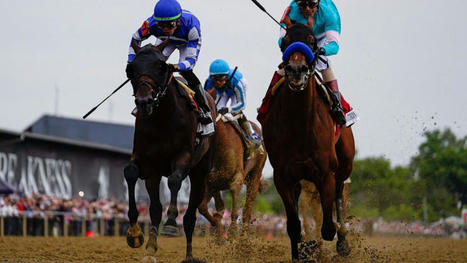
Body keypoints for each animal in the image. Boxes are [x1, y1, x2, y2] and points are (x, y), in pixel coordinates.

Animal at [121, 43, 215, 262]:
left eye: (161, 66)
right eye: (131, 69)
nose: (144, 101)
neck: (162, 118)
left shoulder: (183, 156)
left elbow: (174, 180)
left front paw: (171, 223)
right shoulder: (146, 162)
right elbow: (130, 173)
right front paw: (135, 234)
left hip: (200, 173)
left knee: (189, 217)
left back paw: (189, 255)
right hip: (155, 175)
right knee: (156, 209)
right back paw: (151, 249)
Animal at [198, 88, 268, 239]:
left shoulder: (236, 180)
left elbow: (234, 211)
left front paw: (232, 233)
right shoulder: (212, 182)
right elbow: (205, 208)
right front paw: (218, 232)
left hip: (255, 175)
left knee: (247, 210)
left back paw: (243, 236)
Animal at [262, 24, 356, 262]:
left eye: (312, 41)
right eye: (285, 41)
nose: (297, 69)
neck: (300, 125)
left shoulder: (325, 174)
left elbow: (328, 228)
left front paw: (315, 247)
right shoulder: (283, 177)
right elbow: (294, 226)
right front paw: (303, 251)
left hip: (344, 165)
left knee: (339, 197)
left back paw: (343, 243)